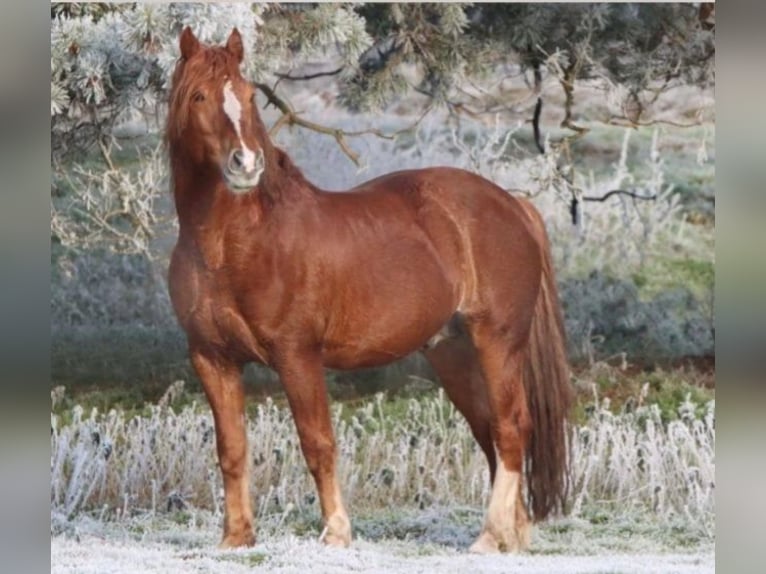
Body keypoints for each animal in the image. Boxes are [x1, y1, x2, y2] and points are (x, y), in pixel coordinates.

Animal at [165, 26, 573, 554]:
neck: (231, 246)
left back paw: (490, 536)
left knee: (511, 427)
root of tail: (512, 205)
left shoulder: (297, 355)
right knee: (491, 432)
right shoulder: (212, 358)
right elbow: (232, 449)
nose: (246, 164)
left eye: (249, 96)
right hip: (454, 355)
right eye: (198, 96)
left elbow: (317, 443)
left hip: (498, 342)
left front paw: (336, 532)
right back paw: (513, 536)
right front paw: (236, 538)